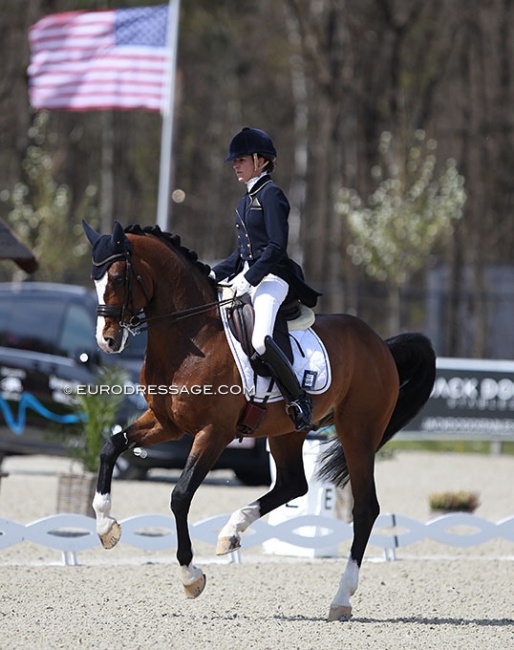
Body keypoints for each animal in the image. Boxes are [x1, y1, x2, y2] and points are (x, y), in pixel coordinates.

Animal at [82, 220, 434, 620]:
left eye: (119, 276)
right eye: (94, 278)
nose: (107, 341)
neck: (191, 336)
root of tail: (380, 345)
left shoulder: (213, 433)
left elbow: (180, 495)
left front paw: (191, 577)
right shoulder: (165, 423)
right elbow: (111, 446)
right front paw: (106, 527)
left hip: (358, 433)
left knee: (365, 508)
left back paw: (341, 597)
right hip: (287, 432)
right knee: (293, 485)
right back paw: (231, 531)